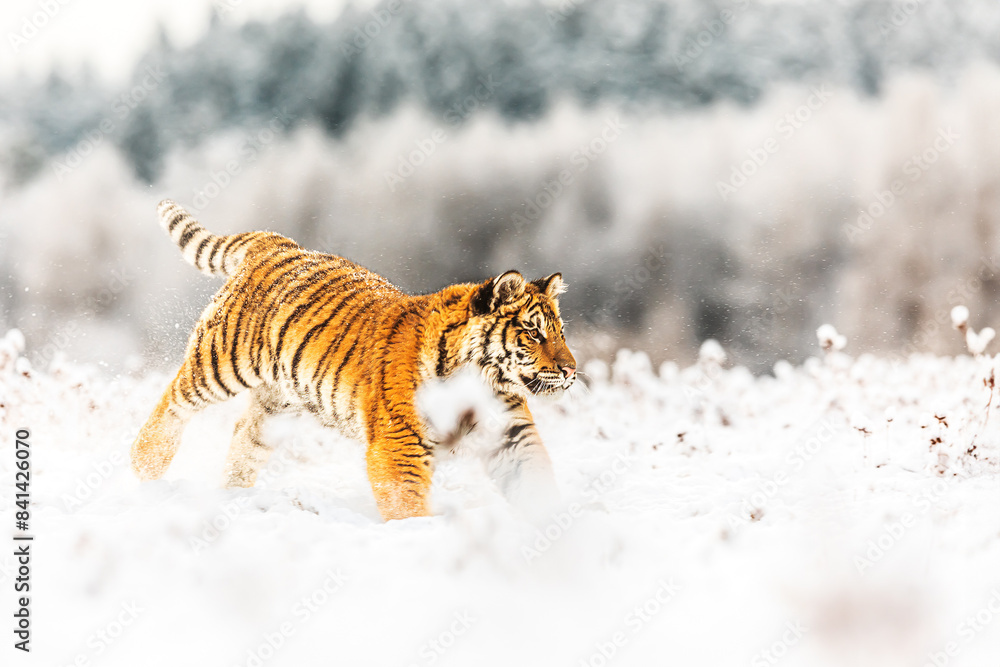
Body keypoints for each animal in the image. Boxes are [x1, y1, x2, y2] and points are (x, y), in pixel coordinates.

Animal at [130, 200, 577, 521]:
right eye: (534, 332)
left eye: (560, 332)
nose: (571, 370)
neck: (481, 378)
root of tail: (279, 243)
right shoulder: (399, 444)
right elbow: (406, 503)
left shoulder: (511, 435)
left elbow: (536, 482)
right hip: (222, 360)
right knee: (174, 401)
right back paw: (145, 466)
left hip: (279, 399)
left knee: (246, 436)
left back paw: (232, 495)